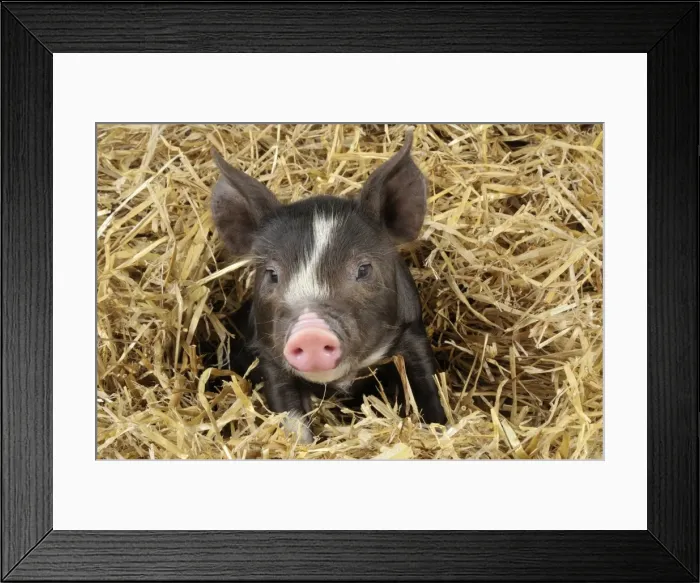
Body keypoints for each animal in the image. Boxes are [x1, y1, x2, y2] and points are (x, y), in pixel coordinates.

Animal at [210, 129, 447, 443]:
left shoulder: (413, 332)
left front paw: (440, 427)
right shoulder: (267, 354)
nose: (310, 332)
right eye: (272, 274)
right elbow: (292, 417)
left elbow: (428, 390)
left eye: (363, 269)